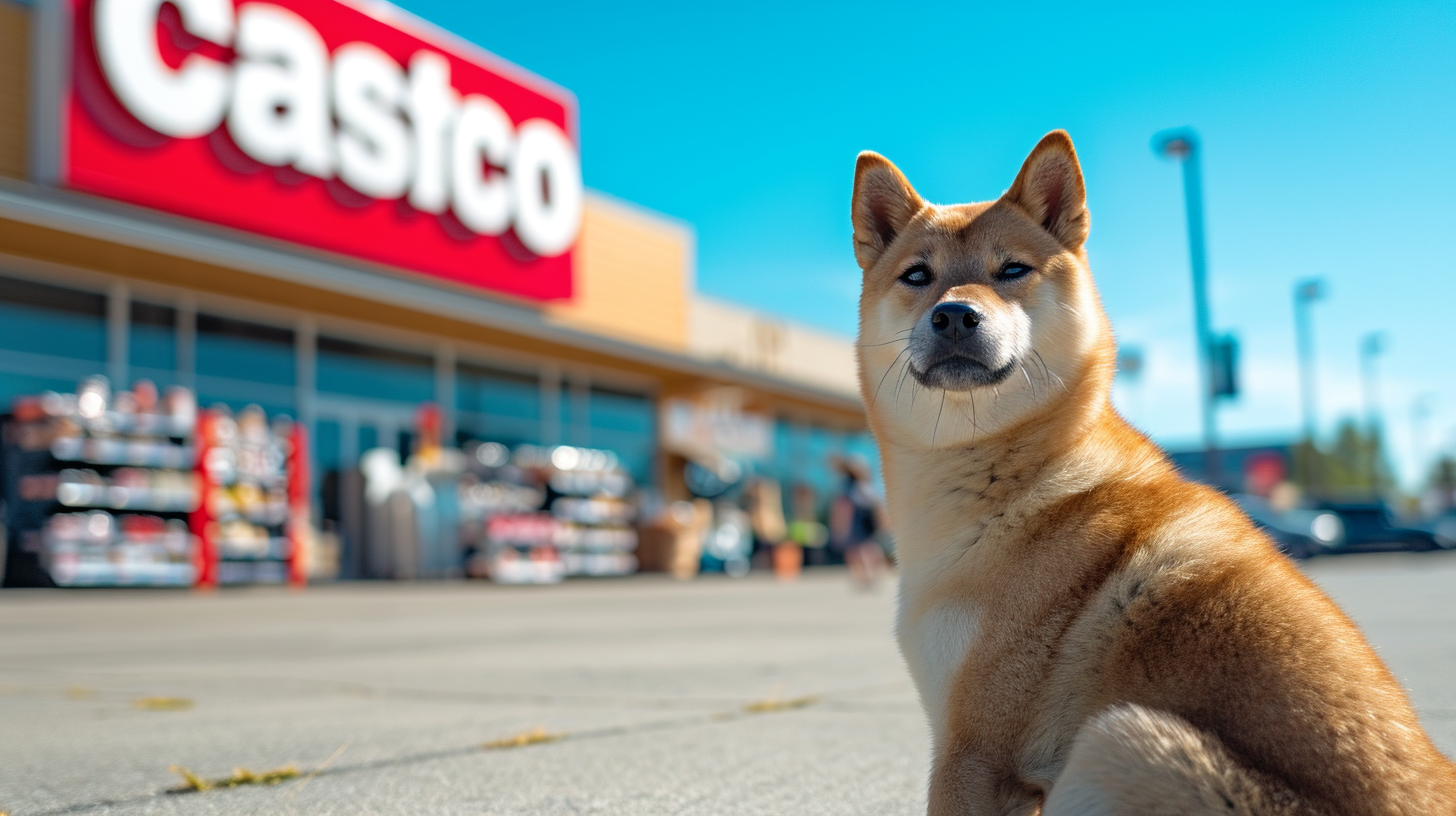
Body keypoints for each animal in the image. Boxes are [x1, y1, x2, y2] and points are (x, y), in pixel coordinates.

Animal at [850, 130, 1456, 810]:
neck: (1006, 481)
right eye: (917, 276)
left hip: (1118, 739)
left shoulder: (974, 755)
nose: (954, 314)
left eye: (1012, 270)